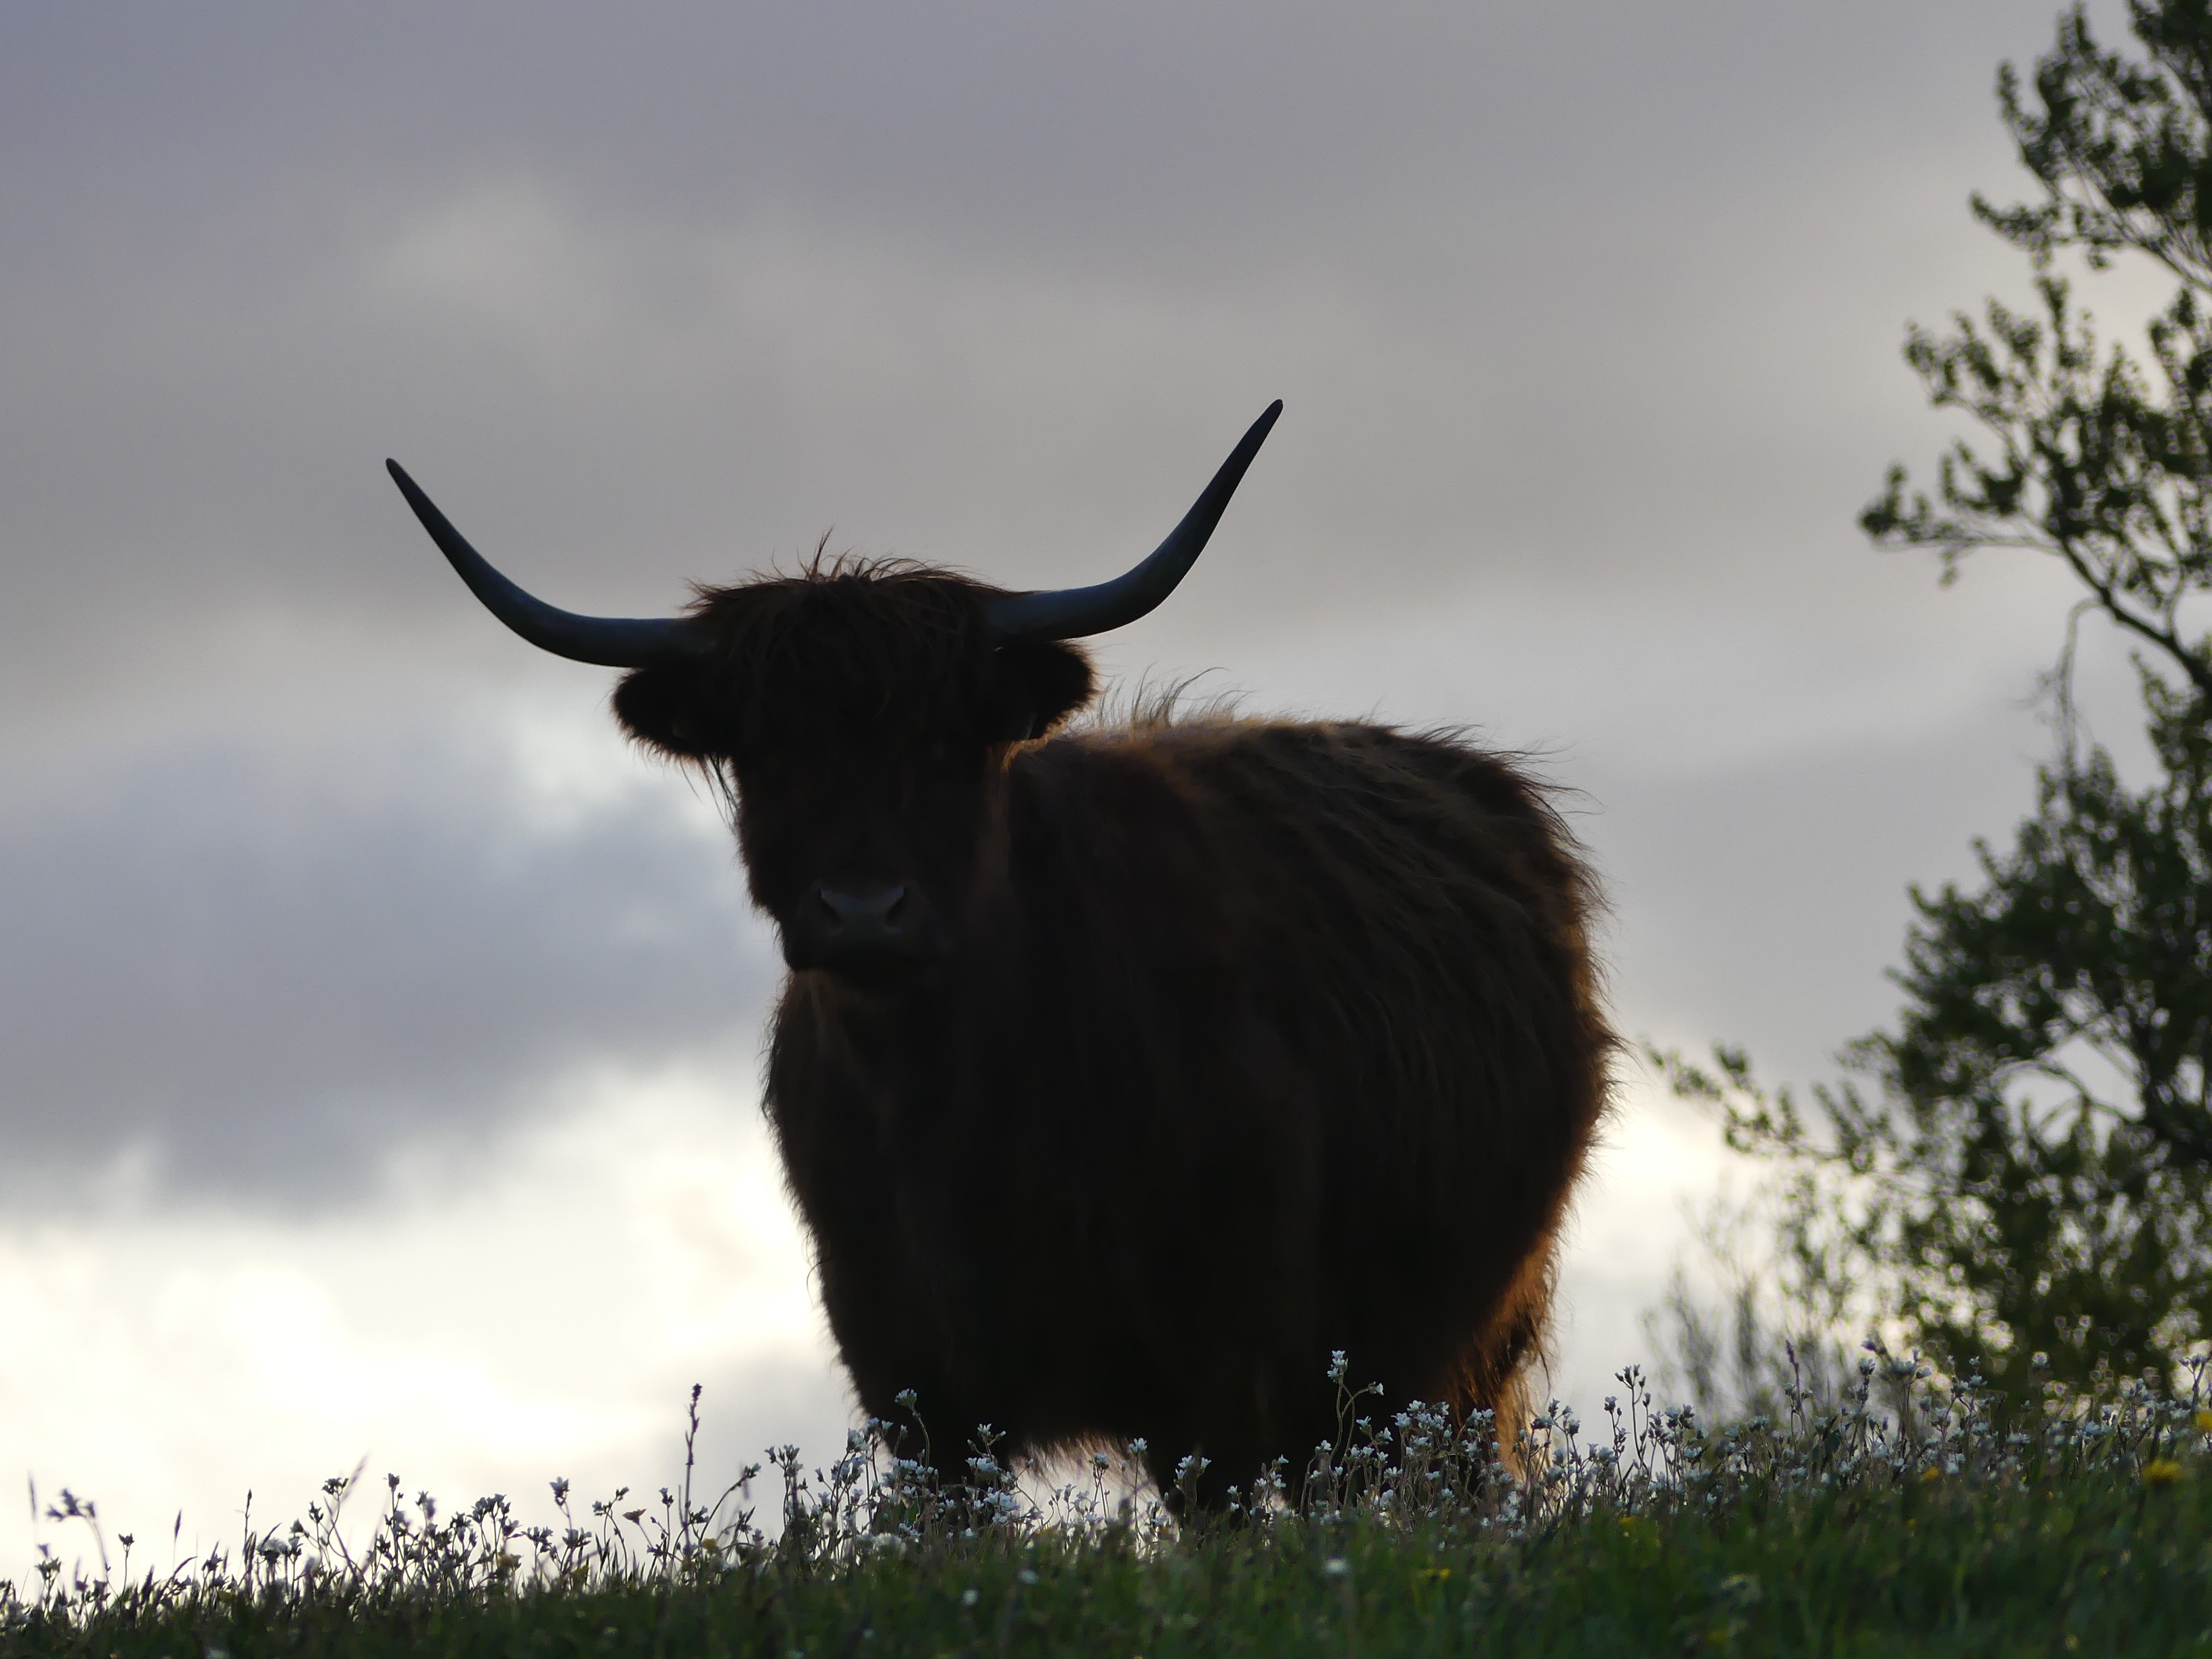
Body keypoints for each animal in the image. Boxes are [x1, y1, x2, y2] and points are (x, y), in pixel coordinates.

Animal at [384, 403, 1610, 1504]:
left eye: (943, 743)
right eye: (768, 749)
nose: (862, 910)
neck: (954, 1105)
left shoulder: (1218, 1355)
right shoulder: (912, 1377)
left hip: (1437, 1359)